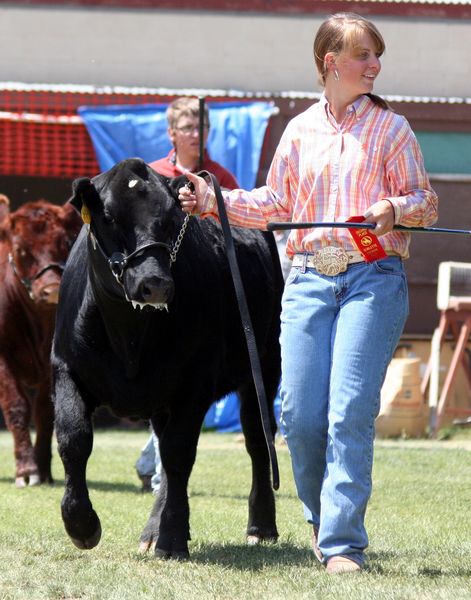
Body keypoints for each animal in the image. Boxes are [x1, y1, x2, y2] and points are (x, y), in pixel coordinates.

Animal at [0, 197, 82, 488]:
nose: (51, 290)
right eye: (20, 249)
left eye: (66, 241)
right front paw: (26, 470)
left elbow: (46, 412)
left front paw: (43, 469)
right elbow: (16, 407)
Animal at [50, 158, 284, 556]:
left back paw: (260, 526)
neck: (129, 337)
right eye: (108, 216)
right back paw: (151, 531)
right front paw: (81, 524)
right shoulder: (66, 368)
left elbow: (179, 455)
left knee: (256, 442)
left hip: (265, 364)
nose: (155, 283)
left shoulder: (194, 384)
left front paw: (172, 537)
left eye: (173, 218)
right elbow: (74, 439)